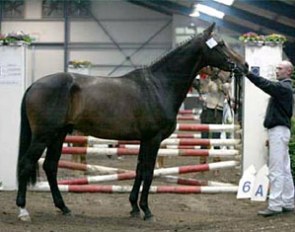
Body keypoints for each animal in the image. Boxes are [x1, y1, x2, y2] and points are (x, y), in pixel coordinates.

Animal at [16, 23, 245, 221]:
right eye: (221, 44)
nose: (243, 65)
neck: (159, 85)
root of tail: (33, 86)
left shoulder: (145, 140)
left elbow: (139, 170)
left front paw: (134, 207)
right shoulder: (153, 139)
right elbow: (148, 172)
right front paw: (147, 210)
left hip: (58, 134)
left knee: (50, 166)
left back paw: (63, 207)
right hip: (43, 136)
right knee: (27, 163)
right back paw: (23, 210)